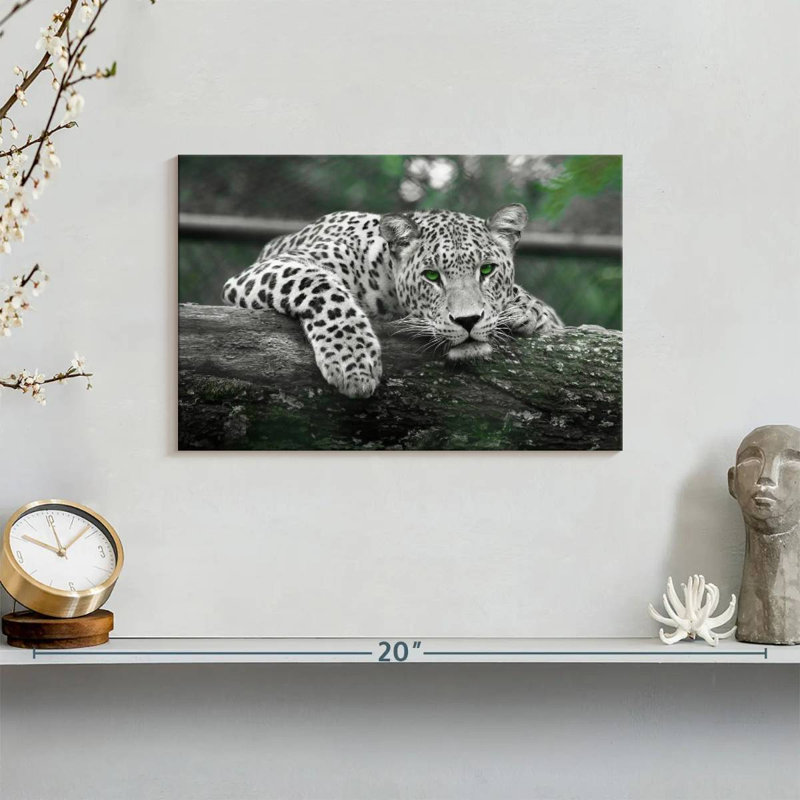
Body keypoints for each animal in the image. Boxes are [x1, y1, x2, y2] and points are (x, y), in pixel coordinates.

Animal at [222, 203, 563, 398]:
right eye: (432, 276)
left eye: (487, 270)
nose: (468, 321)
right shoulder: (270, 268)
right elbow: (321, 285)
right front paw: (353, 360)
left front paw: (528, 309)